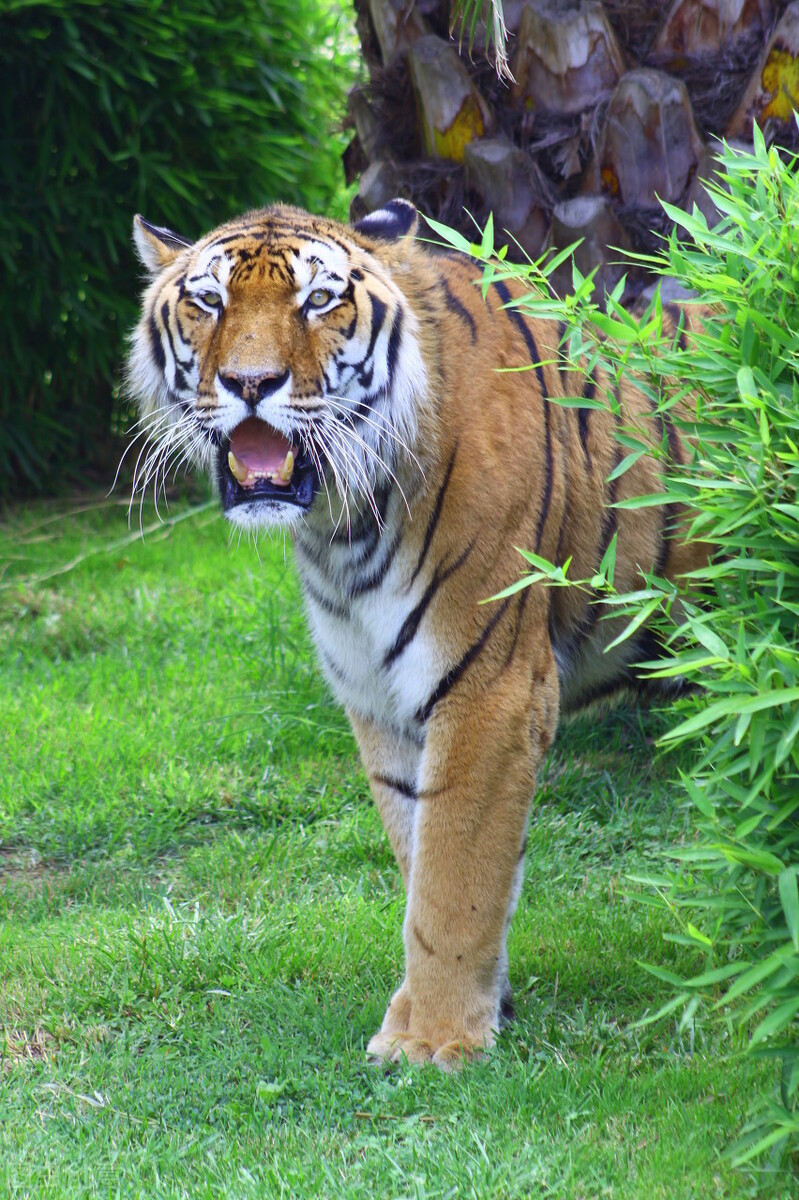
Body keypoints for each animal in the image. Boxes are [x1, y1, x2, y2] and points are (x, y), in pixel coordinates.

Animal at [127, 198, 706, 1070]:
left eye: (317, 302)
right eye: (208, 302)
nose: (250, 384)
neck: (339, 528)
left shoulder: (489, 688)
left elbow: (454, 872)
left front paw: (434, 1039)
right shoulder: (378, 695)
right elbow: (419, 856)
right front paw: (468, 1006)